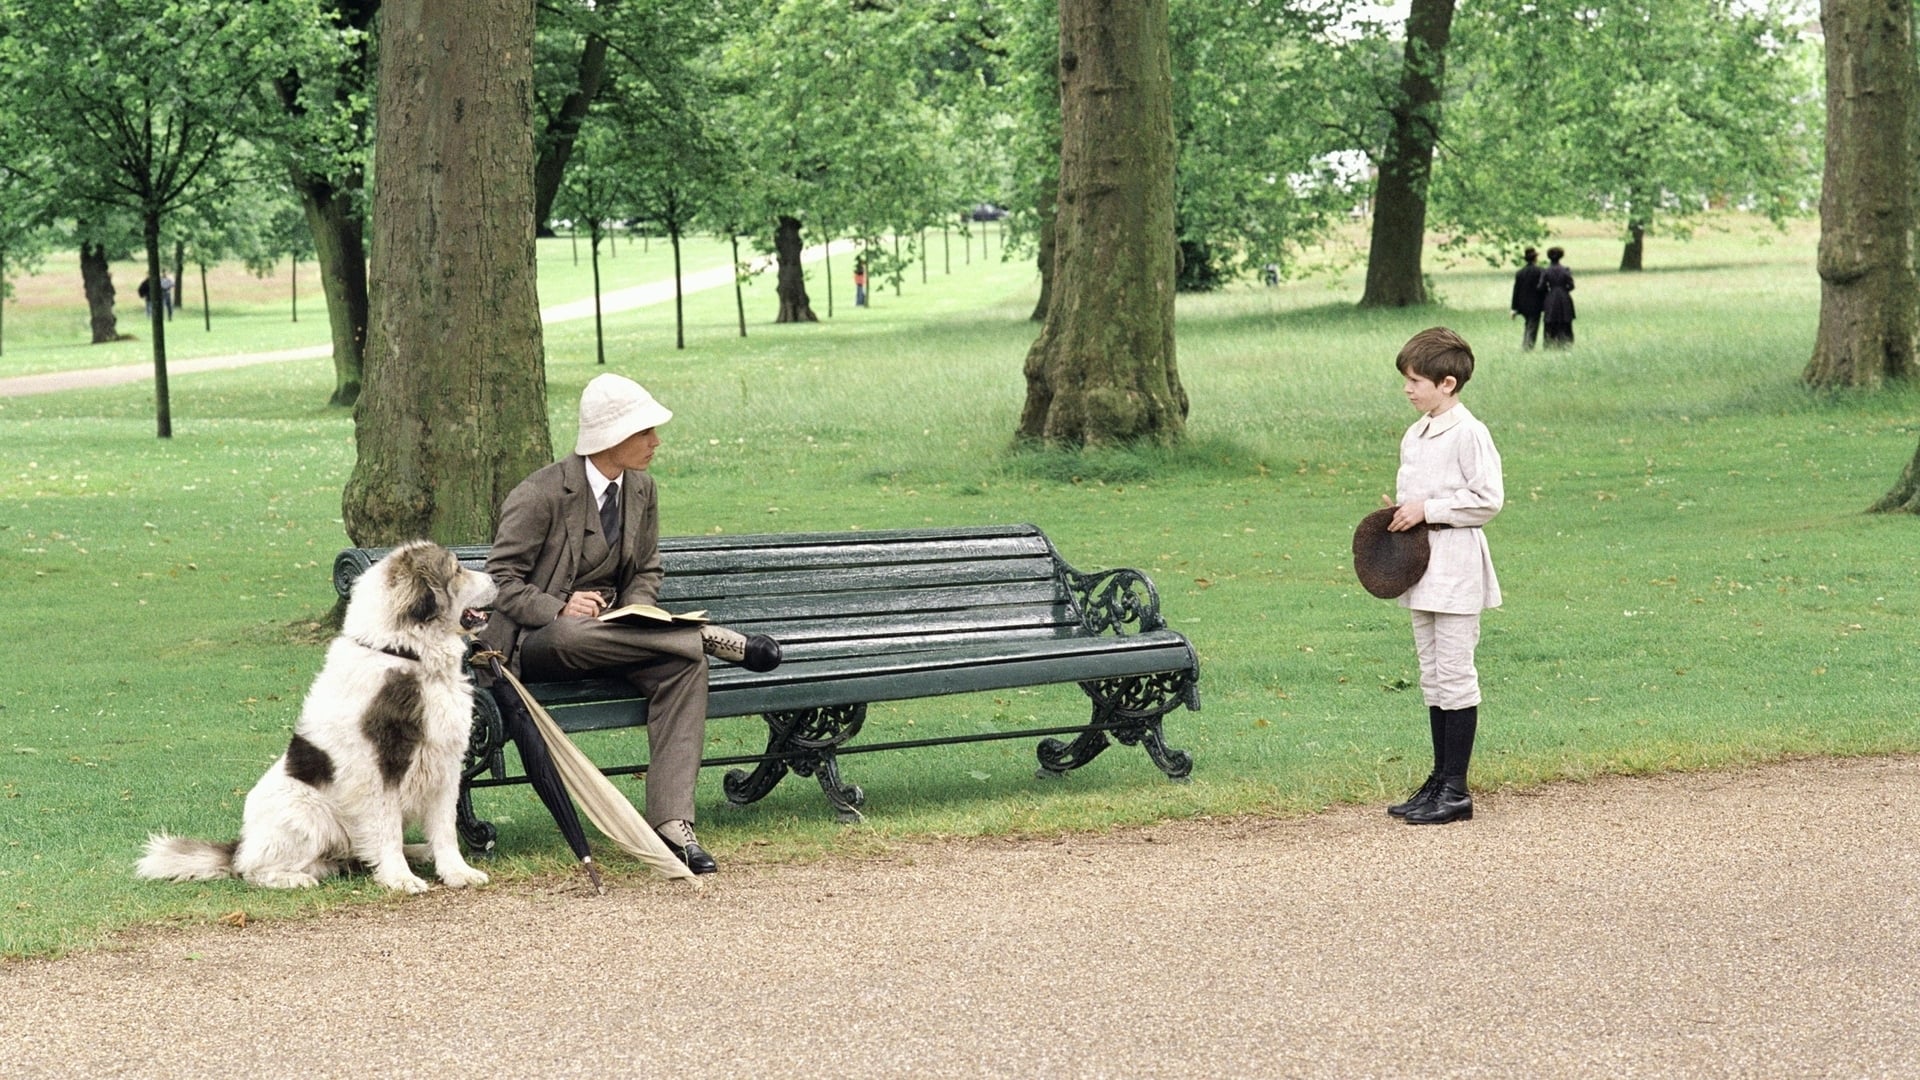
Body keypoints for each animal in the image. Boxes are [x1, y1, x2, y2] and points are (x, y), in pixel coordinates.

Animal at [144, 541, 503, 887]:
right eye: (456, 571)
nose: (497, 578)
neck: (406, 653)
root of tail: (239, 847)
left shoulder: (445, 763)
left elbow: (444, 829)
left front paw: (457, 872)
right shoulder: (380, 768)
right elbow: (387, 828)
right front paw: (399, 878)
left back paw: (415, 851)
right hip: (306, 810)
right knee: (252, 869)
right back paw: (292, 878)